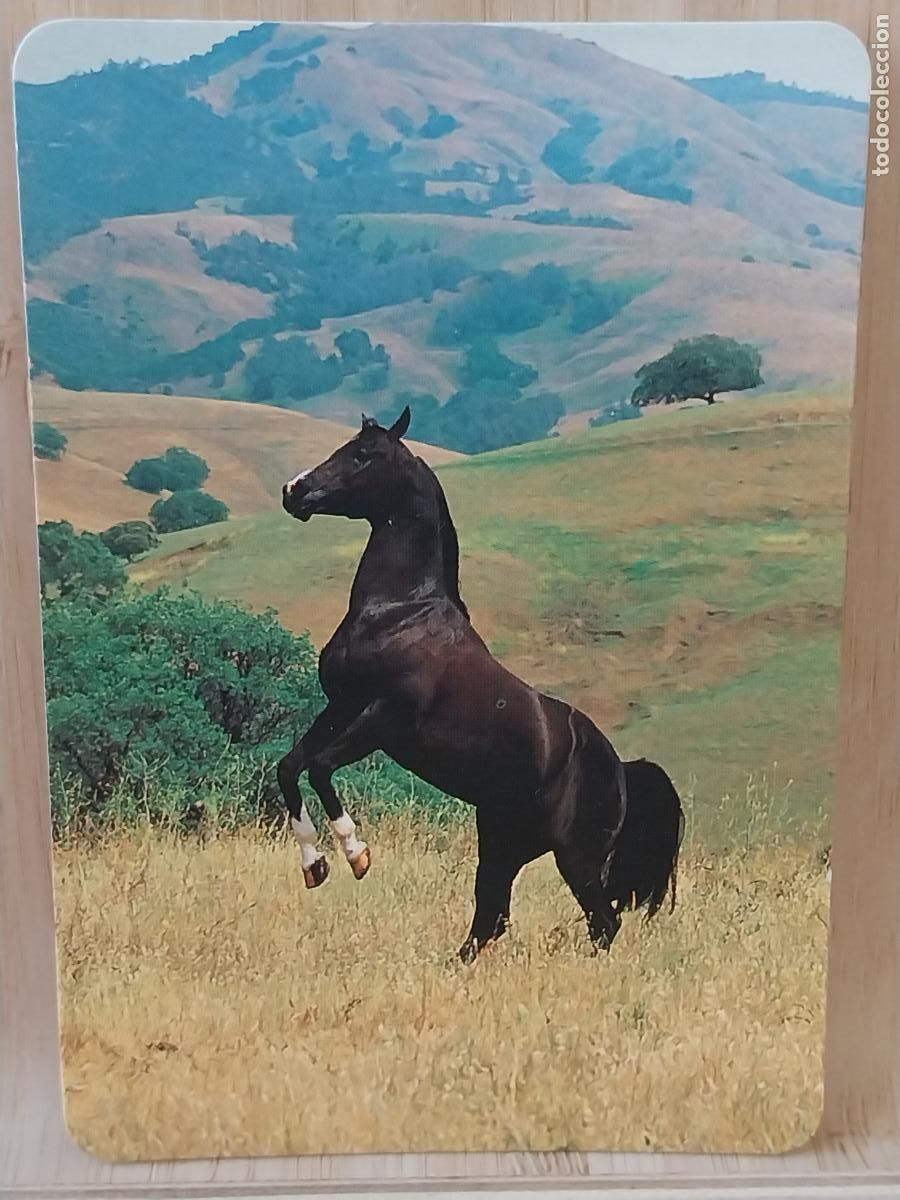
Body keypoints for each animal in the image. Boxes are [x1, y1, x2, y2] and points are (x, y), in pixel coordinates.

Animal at [278, 406, 683, 962]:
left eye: (362, 454)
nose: (294, 491)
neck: (401, 611)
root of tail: (622, 771)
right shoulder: (340, 707)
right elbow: (289, 768)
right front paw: (314, 865)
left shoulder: (385, 719)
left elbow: (318, 767)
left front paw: (357, 855)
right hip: (502, 847)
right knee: (491, 921)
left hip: (575, 858)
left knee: (601, 922)